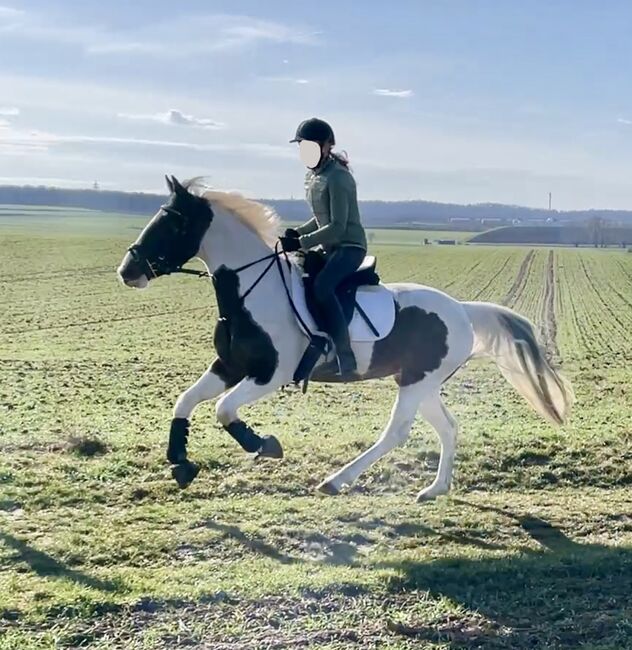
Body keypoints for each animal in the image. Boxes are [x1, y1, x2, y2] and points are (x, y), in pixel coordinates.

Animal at [117, 175, 573, 501]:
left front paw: (264, 444)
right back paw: (434, 489)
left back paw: (337, 480)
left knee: (397, 433)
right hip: (420, 381)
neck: (251, 292)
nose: (127, 271)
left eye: (174, 222)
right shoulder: (229, 366)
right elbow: (186, 402)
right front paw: (180, 463)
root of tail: (462, 309)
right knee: (447, 427)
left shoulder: (270, 375)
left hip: (416, 382)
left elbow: (224, 410)